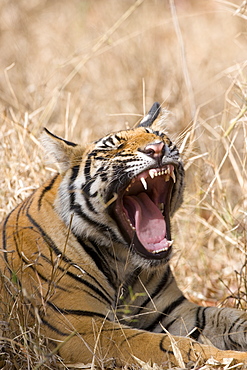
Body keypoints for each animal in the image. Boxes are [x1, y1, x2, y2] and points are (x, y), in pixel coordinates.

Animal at [0, 102, 247, 368]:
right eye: (114, 147)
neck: (122, 260)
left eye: (160, 136)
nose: (157, 149)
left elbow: (229, 317)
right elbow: (171, 345)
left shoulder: (175, 311)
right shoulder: (81, 328)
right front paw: (235, 359)